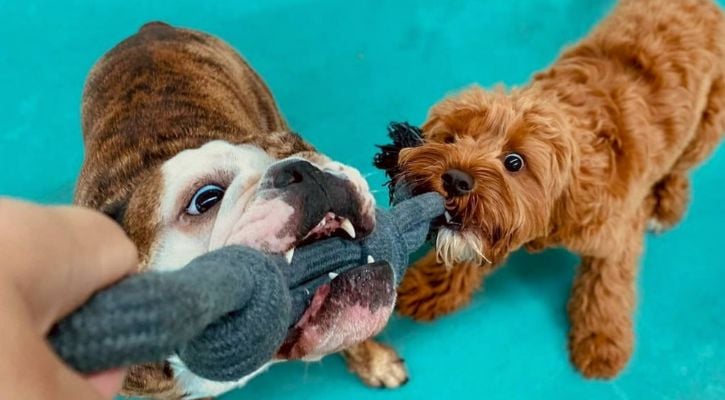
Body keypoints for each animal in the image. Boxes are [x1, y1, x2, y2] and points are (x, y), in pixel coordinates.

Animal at [358, 0, 724, 382]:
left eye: (514, 161)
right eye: (450, 139)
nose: (456, 179)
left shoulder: (617, 236)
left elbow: (607, 287)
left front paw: (601, 340)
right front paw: (428, 286)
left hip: (708, 126)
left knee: (681, 166)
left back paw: (667, 202)